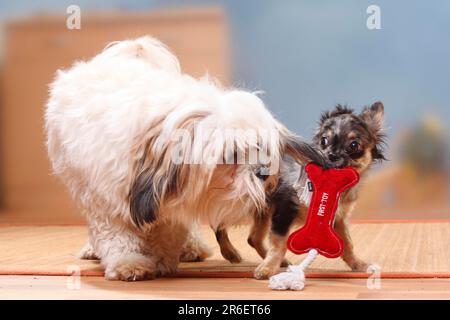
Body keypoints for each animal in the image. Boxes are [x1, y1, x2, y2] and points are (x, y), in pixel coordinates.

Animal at [45, 37, 326, 280]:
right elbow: (117, 237)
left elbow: (169, 231)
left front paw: (163, 259)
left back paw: (191, 248)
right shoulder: (103, 201)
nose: (264, 172)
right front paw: (130, 263)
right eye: (232, 154)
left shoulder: (174, 203)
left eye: (263, 148)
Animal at [214, 101, 386, 278]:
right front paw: (268, 268)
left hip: (263, 209)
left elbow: (347, 244)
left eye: (353, 145)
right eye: (324, 140)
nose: (331, 155)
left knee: (253, 238)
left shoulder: (337, 219)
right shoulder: (285, 209)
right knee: (218, 225)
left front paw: (359, 265)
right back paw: (229, 251)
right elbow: (279, 243)